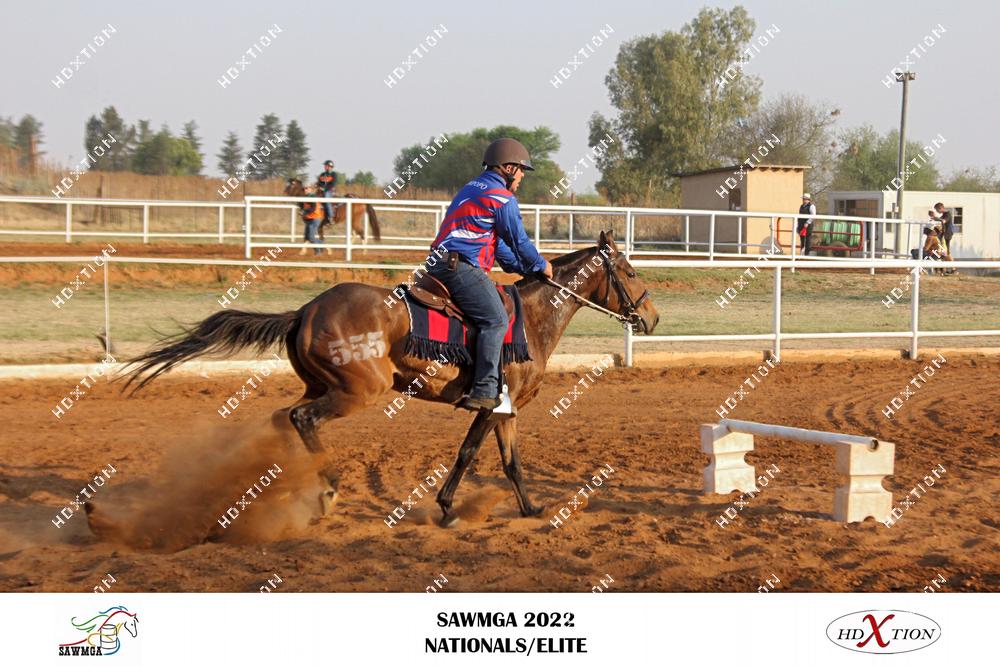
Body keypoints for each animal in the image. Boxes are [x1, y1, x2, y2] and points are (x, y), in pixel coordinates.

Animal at [123, 231, 656, 528]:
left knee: (283, 417)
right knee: (301, 418)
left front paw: (530, 511)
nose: (651, 317)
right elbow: (468, 453)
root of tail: (305, 311)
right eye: (629, 271)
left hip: (323, 384)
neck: (531, 319)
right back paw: (329, 487)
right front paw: (446, 508)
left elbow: (510, 462)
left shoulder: (508, 408)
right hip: (356, 391)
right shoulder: (491, 403)